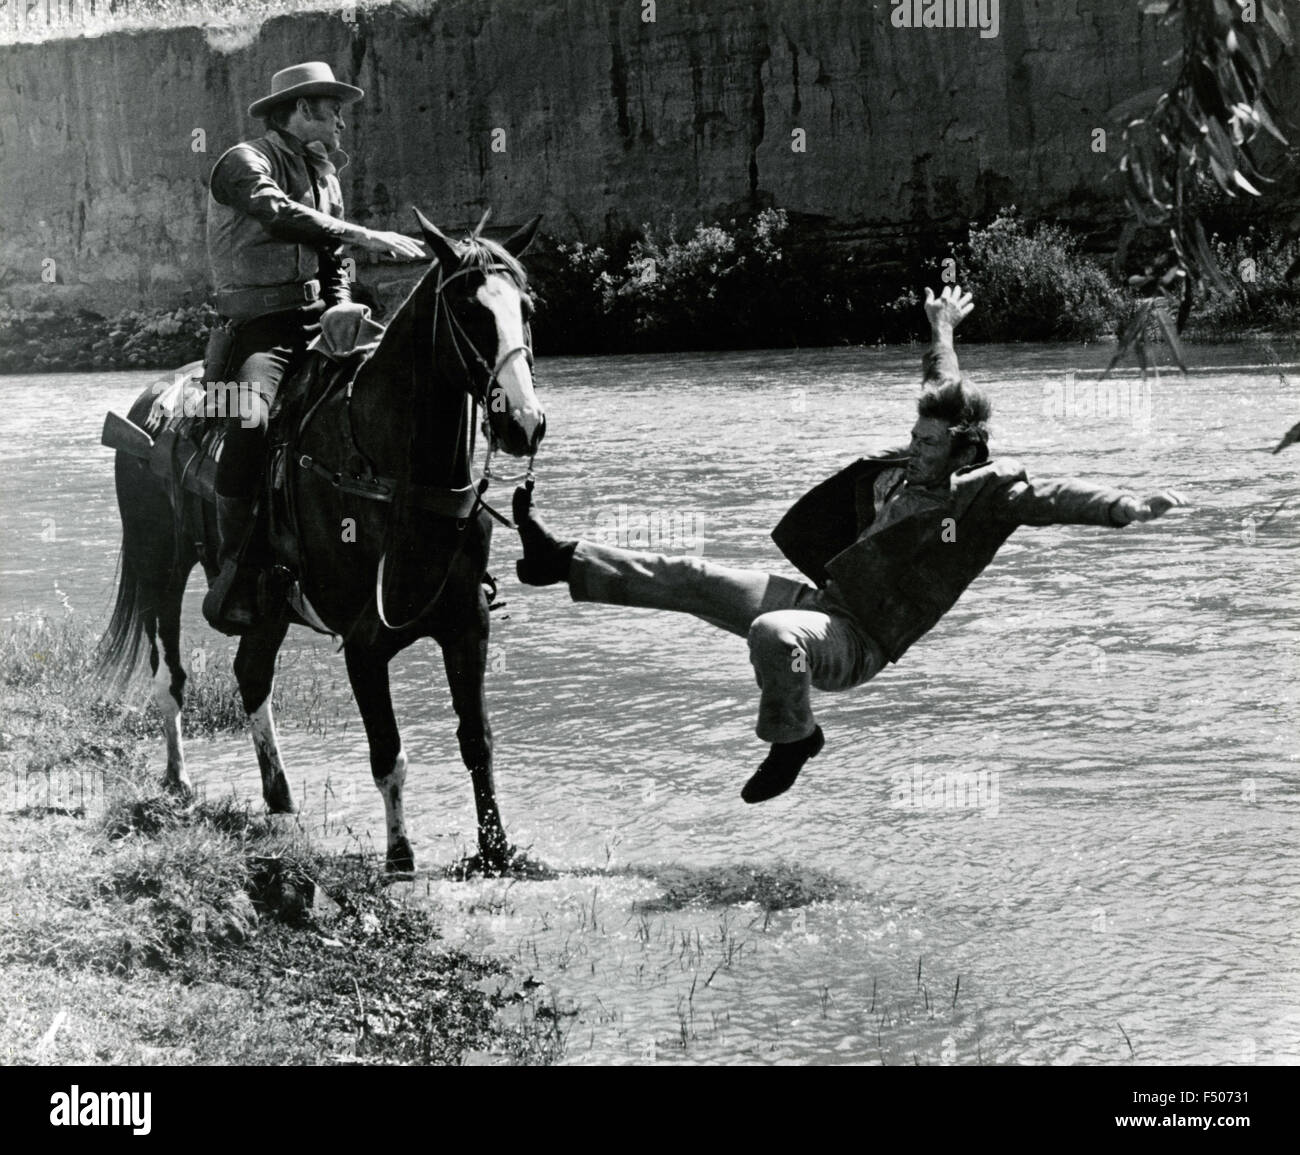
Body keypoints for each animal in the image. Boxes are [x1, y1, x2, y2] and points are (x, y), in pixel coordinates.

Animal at [94, 209, 543, 874]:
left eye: (526, 307)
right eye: (468, 310)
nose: (524, 422)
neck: (391, 471)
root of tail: (149, 402)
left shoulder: (468, 624)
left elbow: (477, 740)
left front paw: (496, 851)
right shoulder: (365, 642)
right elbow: (388, 752)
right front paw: (400, 855)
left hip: (267, 605)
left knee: (251, 673)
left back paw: (278, 796)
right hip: (160, 567)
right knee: (169, 675)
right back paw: (178, 780)